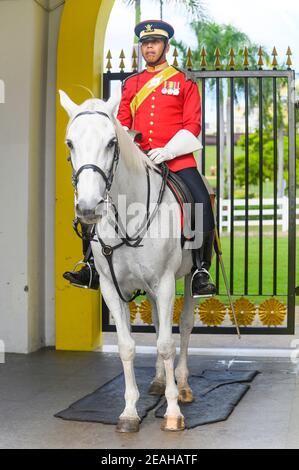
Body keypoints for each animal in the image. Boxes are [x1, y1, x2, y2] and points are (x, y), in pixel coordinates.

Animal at [58, 90, 199, 432]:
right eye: (70, 143)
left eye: (111, 142)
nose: (88, 207)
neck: (127, 213)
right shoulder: (112, 288)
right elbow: (127, 346)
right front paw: (130, 411)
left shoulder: (165, 283)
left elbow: (166, 344)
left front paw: (173, 412)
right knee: (159, 324)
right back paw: (160, 382)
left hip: (188, 278)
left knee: (185, 325)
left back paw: (182, 385)